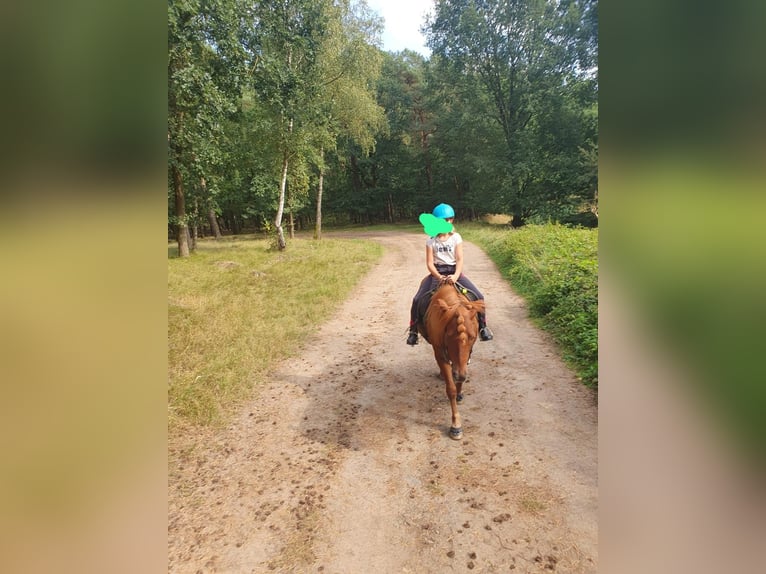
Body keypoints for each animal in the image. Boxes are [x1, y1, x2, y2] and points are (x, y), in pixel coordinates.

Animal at [417, 282, 485, 440]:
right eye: (449, 336)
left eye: (472, 337)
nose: (459, 374)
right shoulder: (440, 352)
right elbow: (451, 389)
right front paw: (456, 426)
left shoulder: (465, 357)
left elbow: (460, 378)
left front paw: (460, 391)